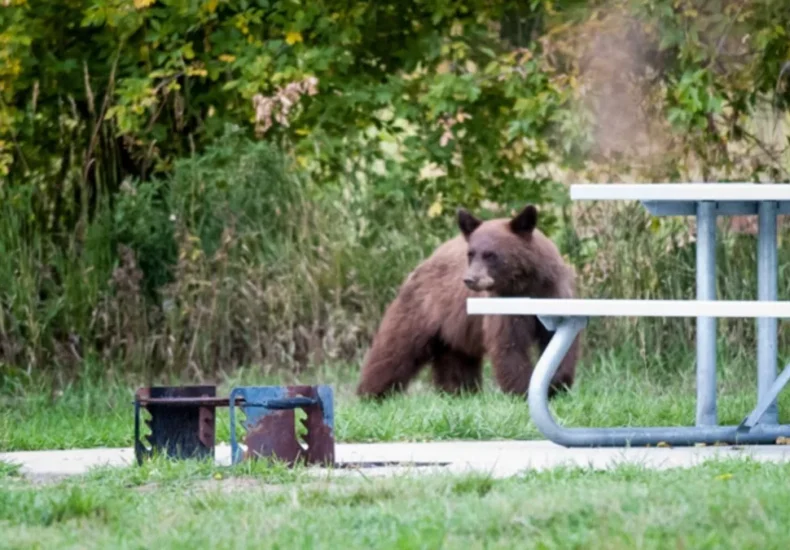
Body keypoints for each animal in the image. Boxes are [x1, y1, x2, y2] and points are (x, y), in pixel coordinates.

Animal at [355, 203, 581, 400]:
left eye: (490, 255)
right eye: (471, 254)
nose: (470, 279)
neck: (526, 284)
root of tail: (427, 259)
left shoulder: (553, 292)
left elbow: (559, 339)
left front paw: (557, 385)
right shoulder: (504, 304)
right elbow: (509, 344)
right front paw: (523, 390)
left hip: (456, 328)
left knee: (456, 358)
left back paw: (459, 392)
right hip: (422, 308)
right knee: (396, 348)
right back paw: (372, 394)